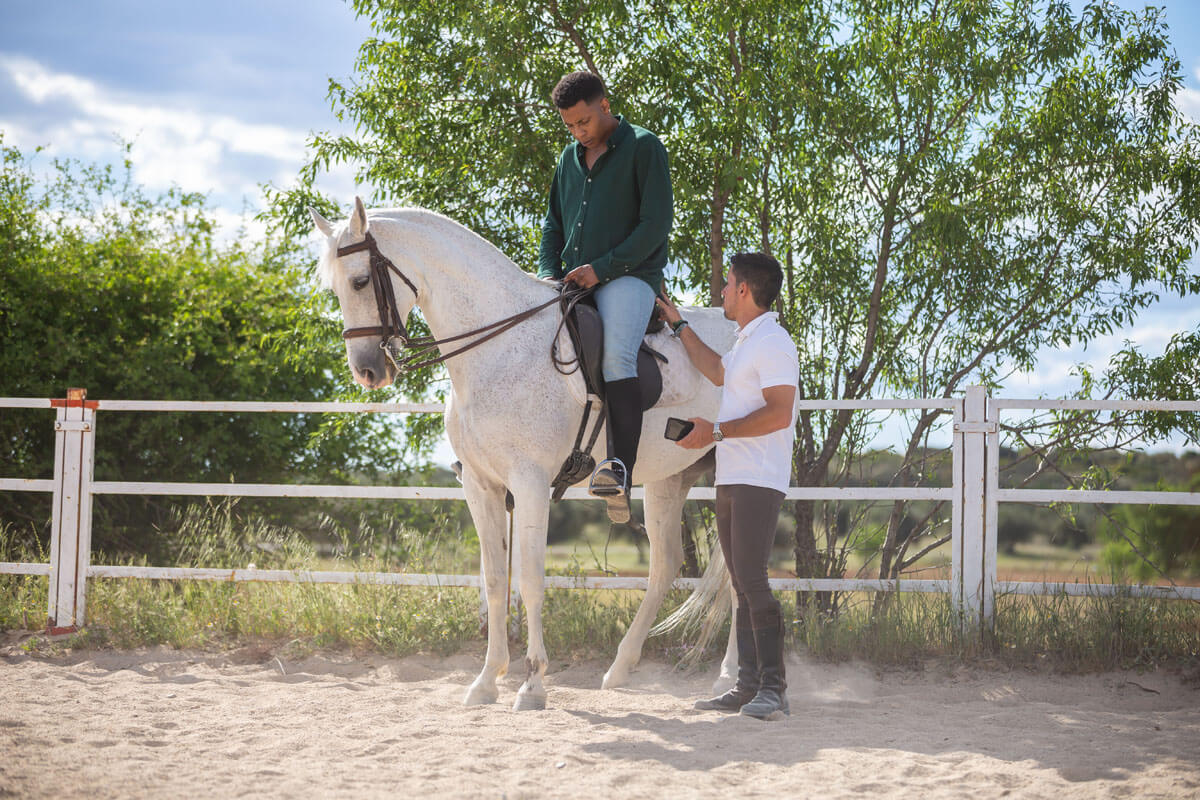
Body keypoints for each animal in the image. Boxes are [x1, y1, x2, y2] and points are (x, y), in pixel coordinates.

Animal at [309, 200, 734, 714]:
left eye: (358, 281)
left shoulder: (530, 484)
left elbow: (530, 580)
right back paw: (620, 669)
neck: (497, 349)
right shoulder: (480, 485)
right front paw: (486, 681)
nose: (368, 371)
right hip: (670, 480)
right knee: (666, 566)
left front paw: (532, 685)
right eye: (334, 288)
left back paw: (728, 675)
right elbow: (495, 582)